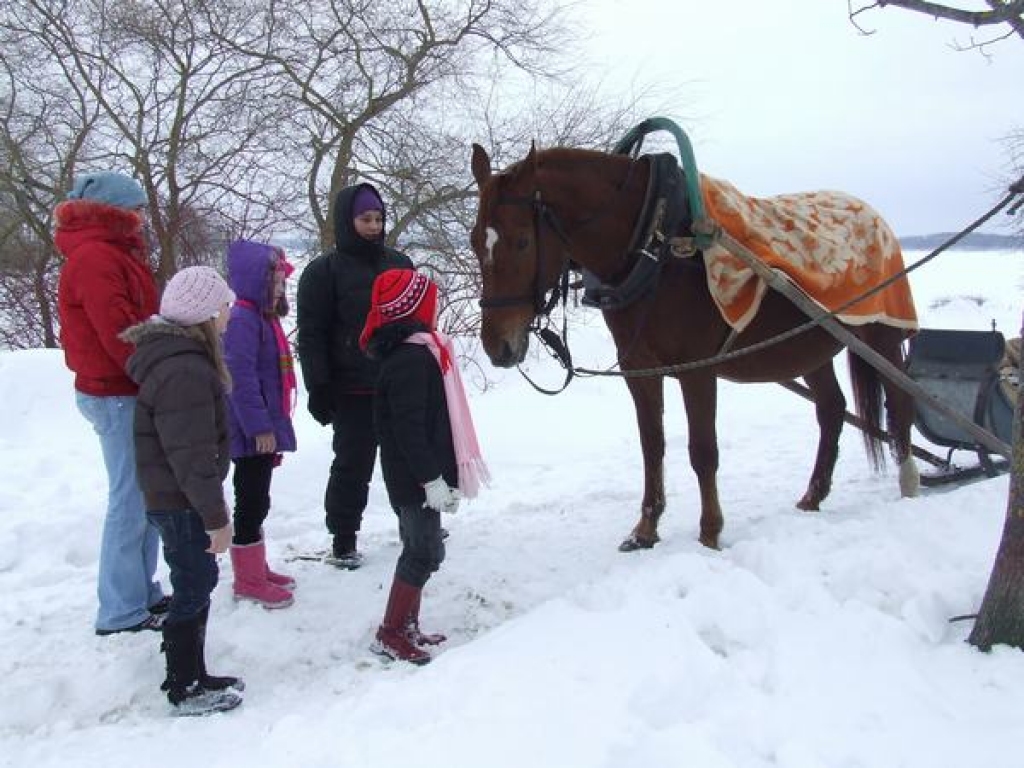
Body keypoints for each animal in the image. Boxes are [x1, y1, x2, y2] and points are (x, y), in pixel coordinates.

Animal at [468, 143, 921, 552]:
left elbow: (703, 451)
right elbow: (652, 445)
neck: (653, 244)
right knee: (831, 409)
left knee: (900, 401)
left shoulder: (697, 370)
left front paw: (709, 533)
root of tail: (873, 215)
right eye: (473, 241)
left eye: (523, 242)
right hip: (807, 347)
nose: (498, 346)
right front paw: (645, 530)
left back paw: (909, 483)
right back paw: (812, 497)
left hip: (880, 336)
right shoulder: (640, 370)